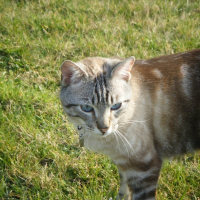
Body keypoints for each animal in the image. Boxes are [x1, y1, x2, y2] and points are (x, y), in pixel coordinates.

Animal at [60, 48, 200, 200]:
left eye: (116, 106)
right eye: (86, 108)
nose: (104, 129)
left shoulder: (144, 169)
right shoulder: (124, 164)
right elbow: (123, 188)